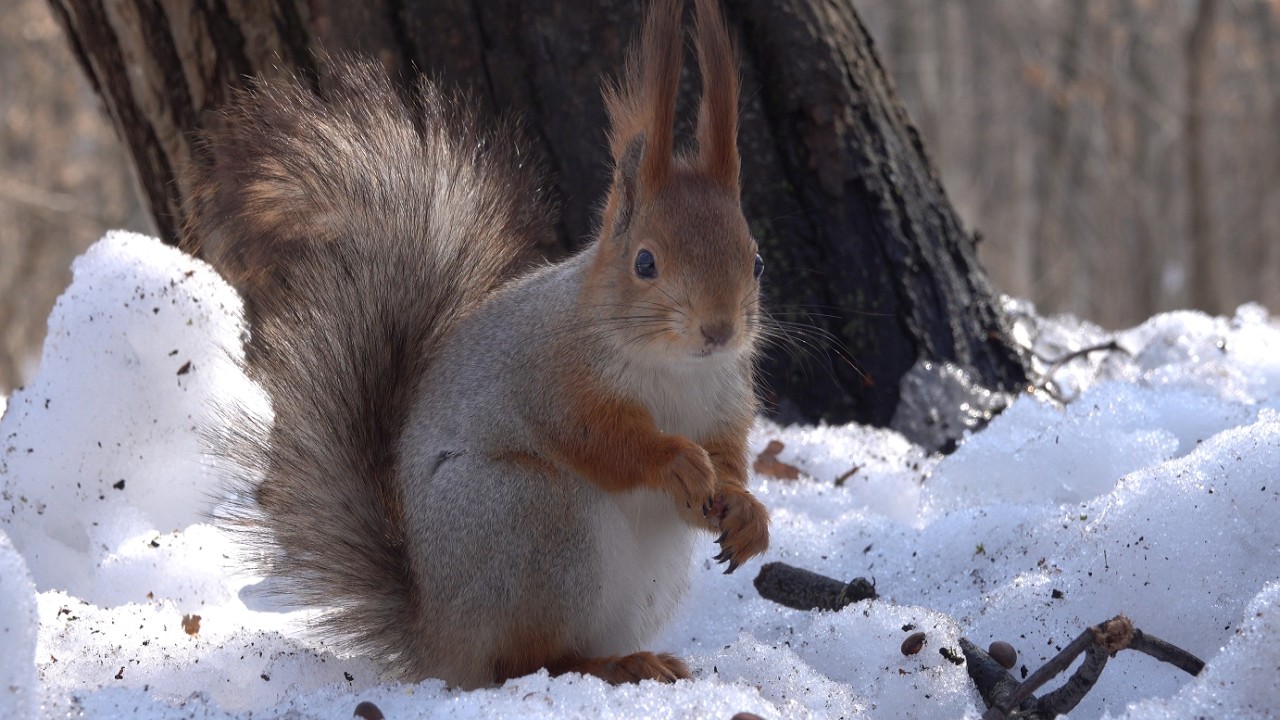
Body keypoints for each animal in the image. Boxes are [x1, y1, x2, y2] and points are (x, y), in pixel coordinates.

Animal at [182, 0, 769, 689]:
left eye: (756, 261)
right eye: (645, 262)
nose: (719, 329)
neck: (676, 368)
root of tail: (441, 639)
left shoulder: (725, 399)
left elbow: (724, 463)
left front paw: (745, 510)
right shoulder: (553, 375)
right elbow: (598, 440)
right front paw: (673, 461)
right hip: (534, 519)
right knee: (526, 661)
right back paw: (611, 665)